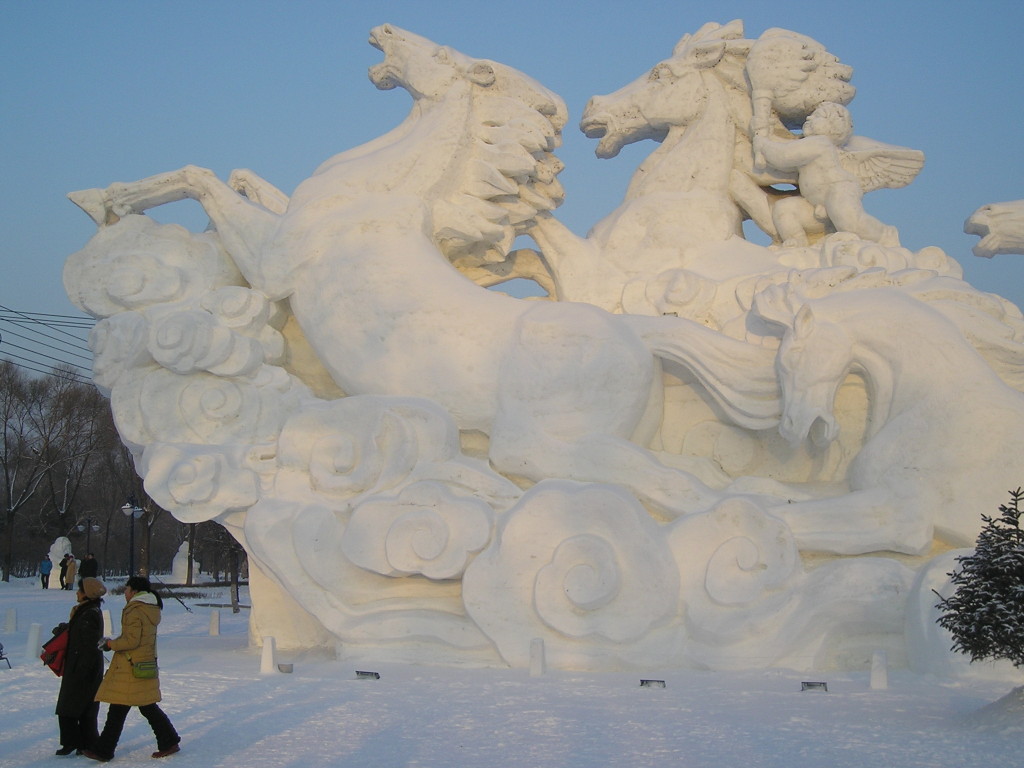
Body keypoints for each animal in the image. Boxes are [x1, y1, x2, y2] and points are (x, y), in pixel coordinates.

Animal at [68, 25, 778, 518]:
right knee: (698, 479)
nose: (382, 30)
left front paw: (103, 200)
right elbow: (246, 178)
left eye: (444, 53)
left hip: (539, 444)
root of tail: (640, 335)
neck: (383, 189)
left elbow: (202, 176)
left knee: (669, 485)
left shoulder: (273, 263)